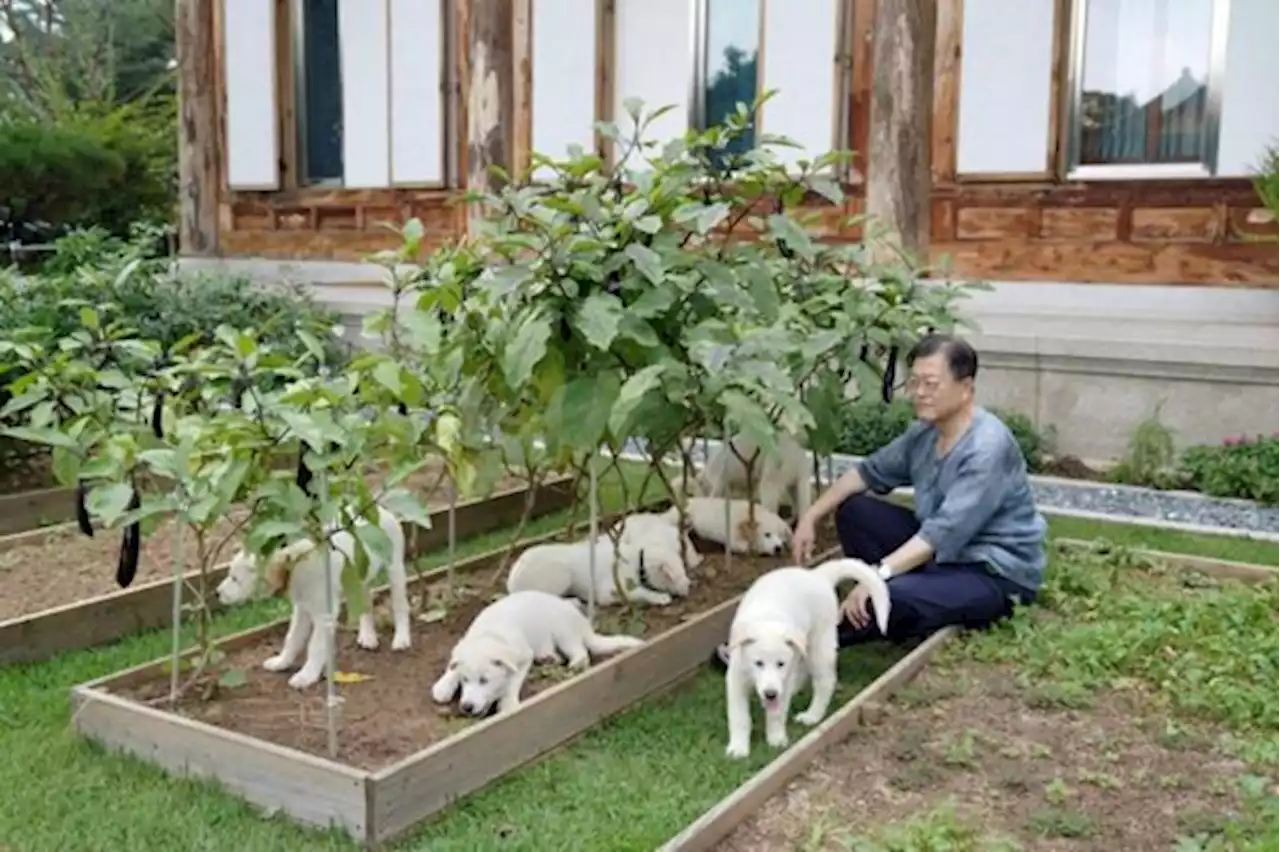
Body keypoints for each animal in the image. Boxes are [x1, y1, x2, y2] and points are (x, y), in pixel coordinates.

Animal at [212, 501, 407, 685]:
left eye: (235, 579)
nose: (217, 593)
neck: (293, 565)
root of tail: (377, 508)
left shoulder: (324, 614)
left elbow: (315, 646)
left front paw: (307, 675)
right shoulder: (301, 608)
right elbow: (292, 638)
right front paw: (281, 662)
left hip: (395, 567)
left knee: (400, 605)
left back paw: (402, 639)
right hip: (359, 576)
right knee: (365, 601)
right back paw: (368, 636)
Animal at [432, 588, 650, 711]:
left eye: (485, 681)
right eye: (464, 680)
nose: (466, 707)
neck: (490, 634)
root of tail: (583, 623)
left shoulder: (524, 656)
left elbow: (513, 681)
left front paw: (508, 702)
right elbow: (453, 667)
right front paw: (443, 686)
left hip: (563, 631)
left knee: (581, 652)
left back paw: (575, 664)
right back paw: (549, 658)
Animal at [721, 557, 890, 757]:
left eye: (780, 664)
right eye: (758, 663)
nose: (770, 694)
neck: (767, 619)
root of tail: (818, 575)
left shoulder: (783, 677)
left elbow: (777, 714)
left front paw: (776, 739)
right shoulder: (736, 679)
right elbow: (739, 717)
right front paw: (738, 748)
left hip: (819, 646)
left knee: (824, 681)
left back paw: (812, 715)